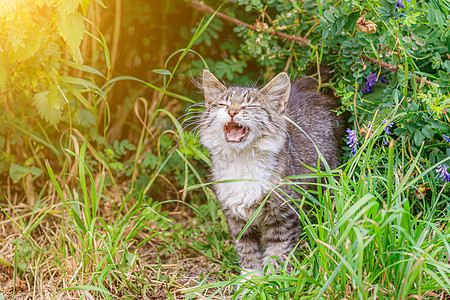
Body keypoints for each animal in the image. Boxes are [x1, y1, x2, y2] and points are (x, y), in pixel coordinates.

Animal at [199, 68, 342, 274]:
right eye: (223, 104)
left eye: (250, 105)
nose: (232, 111)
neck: (242, 160)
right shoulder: (235, 216)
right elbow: (247, 249)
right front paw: (250, 277)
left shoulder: (284, 214)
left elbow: (278, 249)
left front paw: (273, 278)